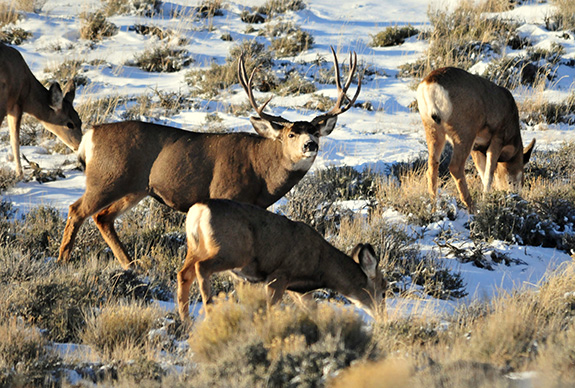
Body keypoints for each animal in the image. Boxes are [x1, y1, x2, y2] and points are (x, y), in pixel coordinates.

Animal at [0, 42, 83, 179]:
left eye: (80, 121)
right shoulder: (16, 104)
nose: (79, 145)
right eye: (70, 124)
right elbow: (15, 140)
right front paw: (20, 175)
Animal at [59, 46, 360, 270]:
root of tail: (90, 136)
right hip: (107, 178)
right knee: (77, 210)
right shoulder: (223, 192)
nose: (310, 145)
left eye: (316, 132)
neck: (262, 172)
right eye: (290, 134)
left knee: (103, 217)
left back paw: (131, 264)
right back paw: (63, 261)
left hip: (135, 188)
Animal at [179, 199, 388, 320]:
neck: (321, 266)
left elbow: (312, 311)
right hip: (232, 251)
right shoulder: (279, 275)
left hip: (196, 247)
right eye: (384, 290)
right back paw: (209, 310)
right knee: (201, 267)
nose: (384, 317)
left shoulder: (298, 290)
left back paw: (186, 322)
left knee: (183, 274)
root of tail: (198, 210)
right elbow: (270, 309)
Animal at [416, 67, 536, 212]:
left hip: (432, 129)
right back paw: (471, 206)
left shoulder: (477, 147)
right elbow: (489, 174)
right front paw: (486, 200)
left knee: (432, 166)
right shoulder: (497, 137)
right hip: (464, 132)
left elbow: (483, 173)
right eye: (522, 173)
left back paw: (434, 205)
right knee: (455, 167)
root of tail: (430, 84)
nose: (516, 195)